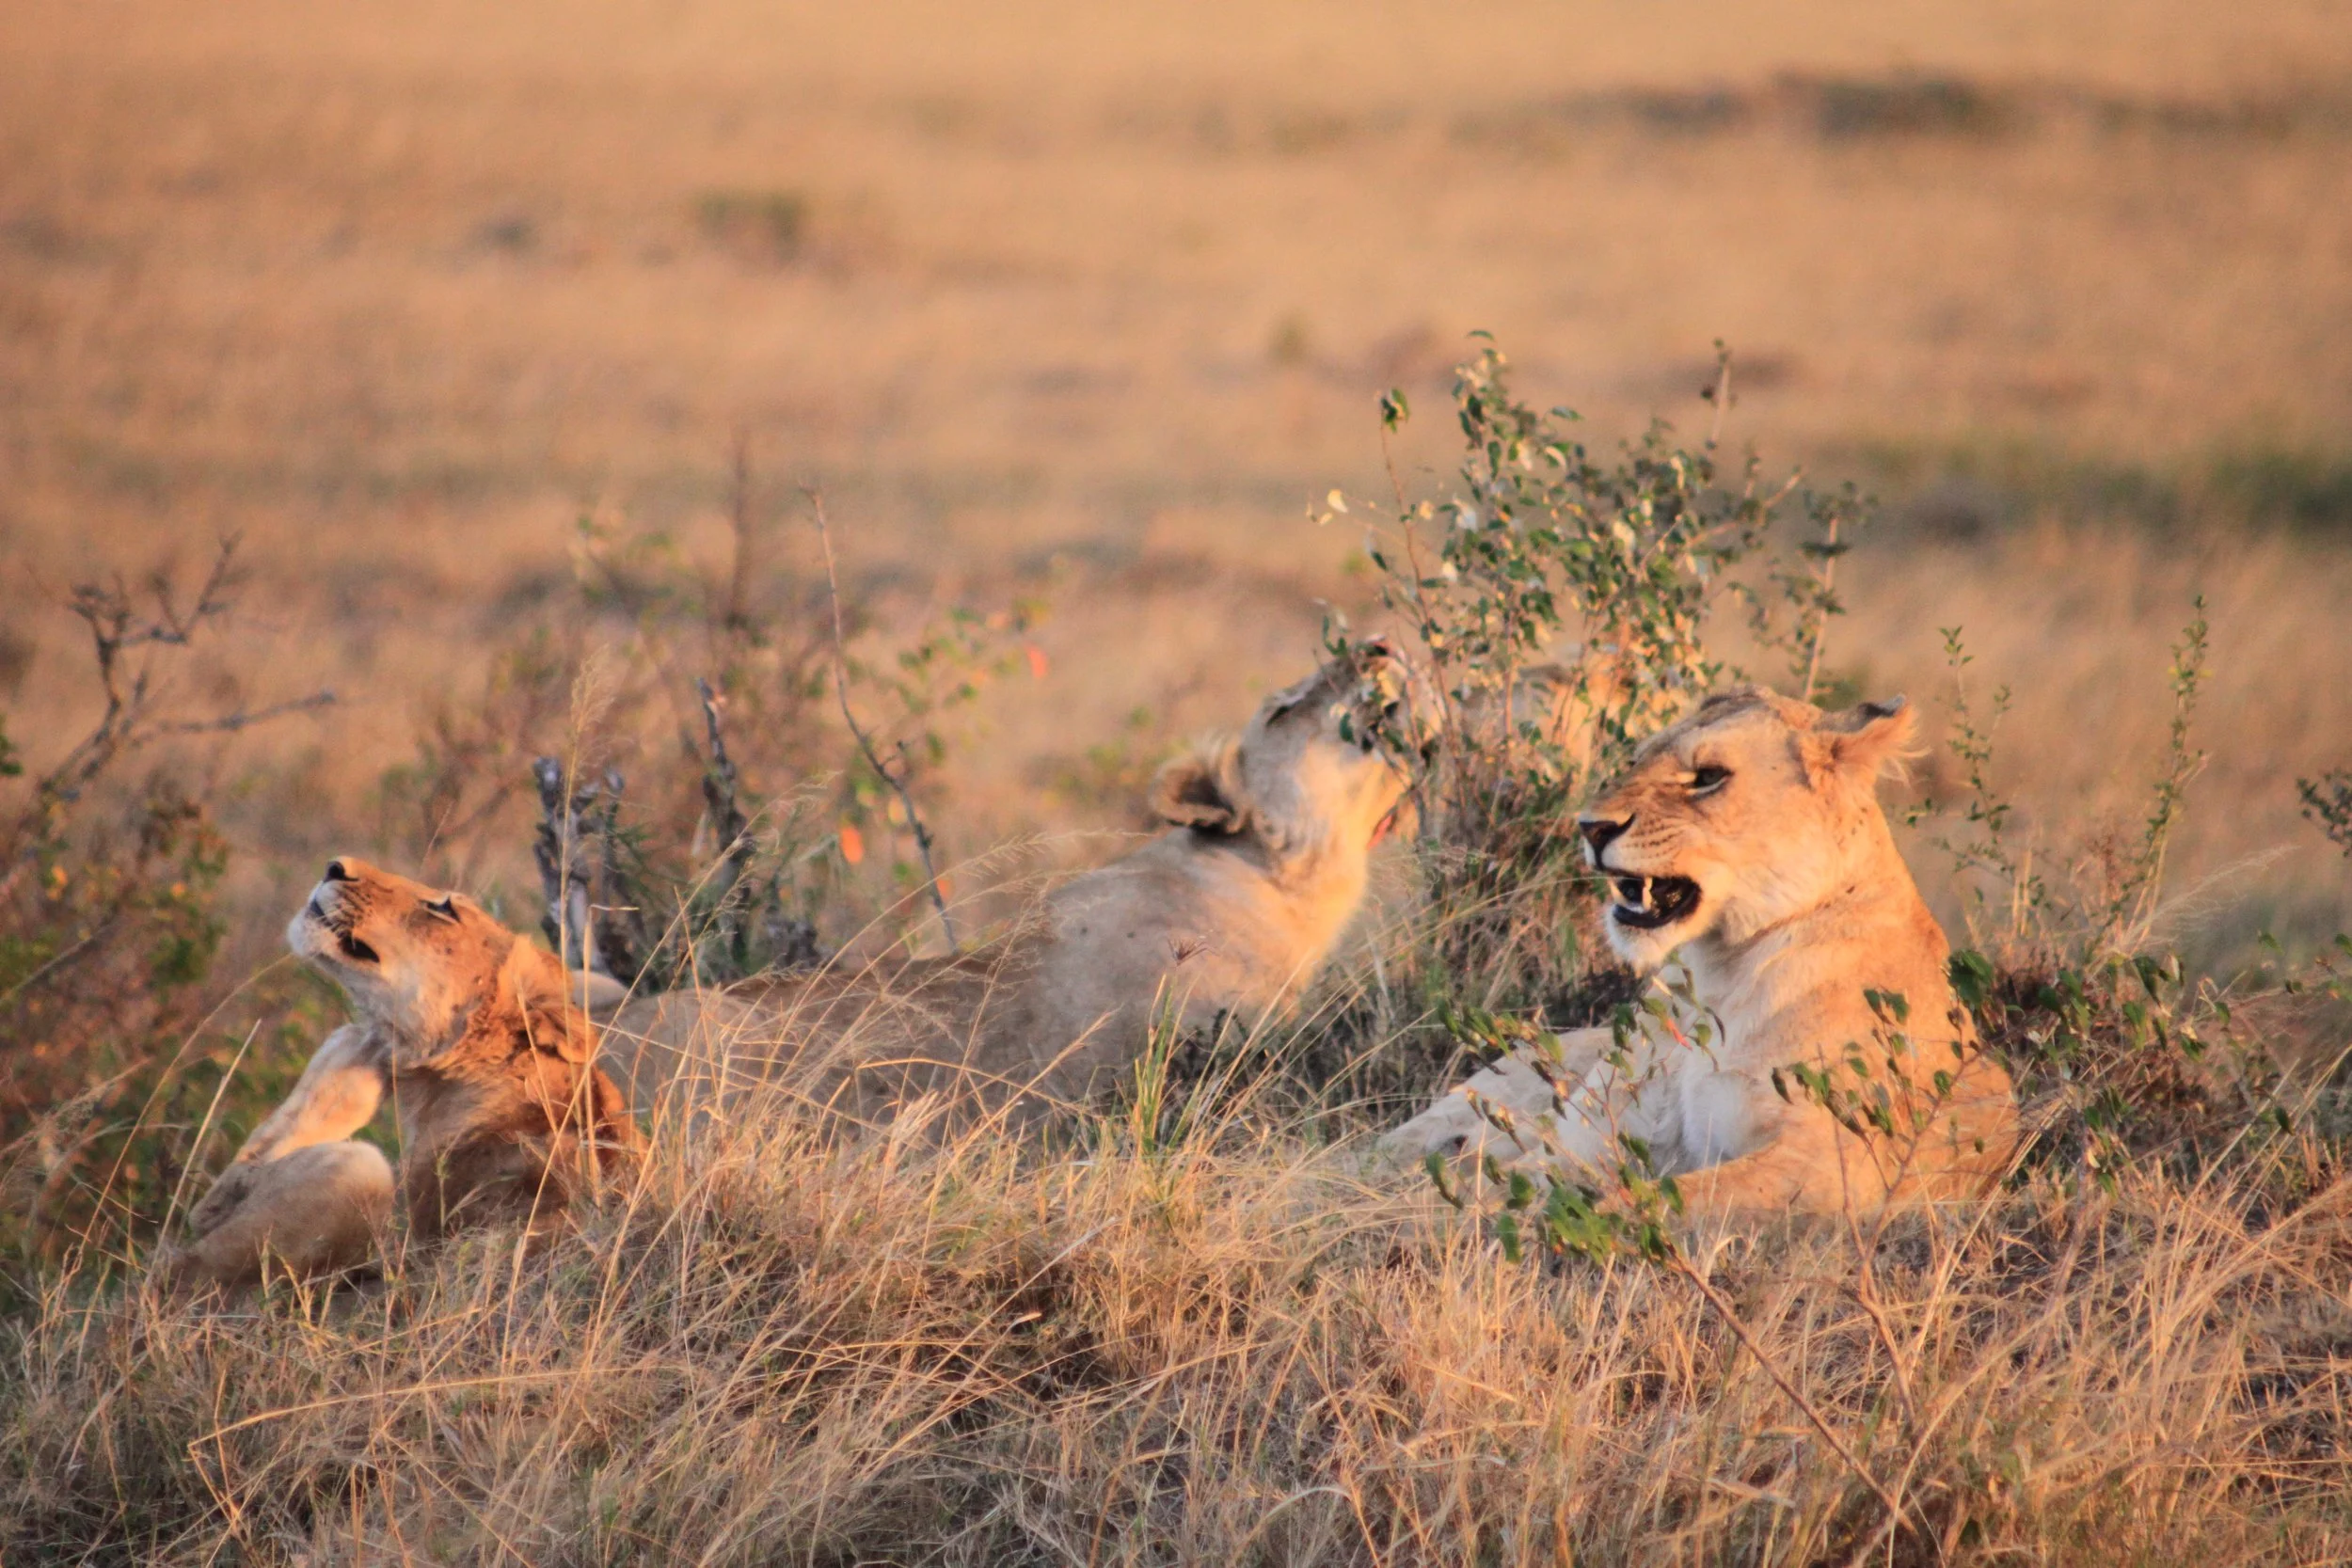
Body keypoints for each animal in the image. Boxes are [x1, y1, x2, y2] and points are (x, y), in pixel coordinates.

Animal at [1382, 686, 2018, 1215]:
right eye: (1637, 760)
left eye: (1708, 776)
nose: (1589, 827)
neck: (1717, 974)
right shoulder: (1579, 1142)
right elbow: (1498, 1188)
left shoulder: (1844, 1168)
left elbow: (1653, 1200)